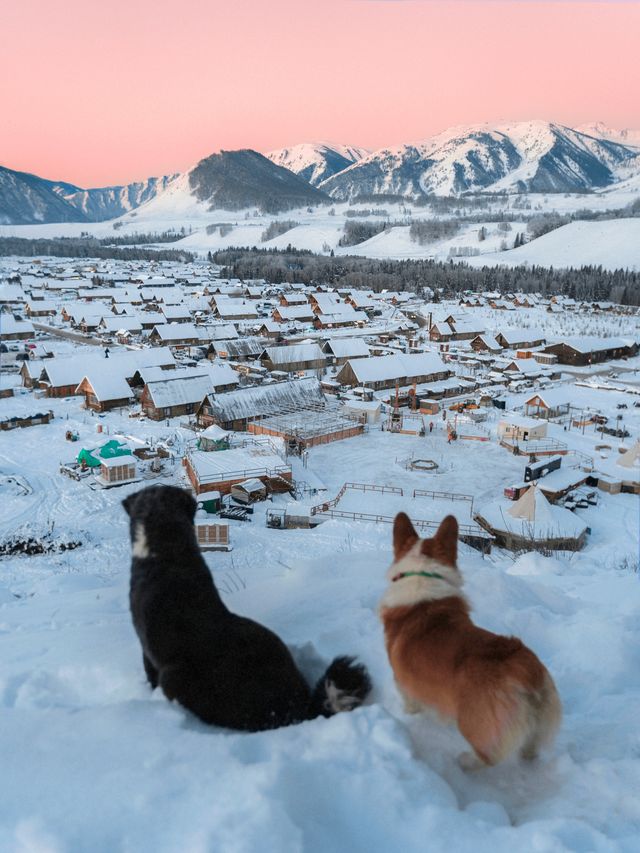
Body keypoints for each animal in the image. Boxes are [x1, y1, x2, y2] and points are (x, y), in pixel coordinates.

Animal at [380, 512, 560, 772]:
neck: (423, 573)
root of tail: (526, 672)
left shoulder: (403, 681)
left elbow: (410, 702)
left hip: (475, 723)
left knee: (489, 756)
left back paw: (465, 761)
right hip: (538, 721)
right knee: (530, 747)